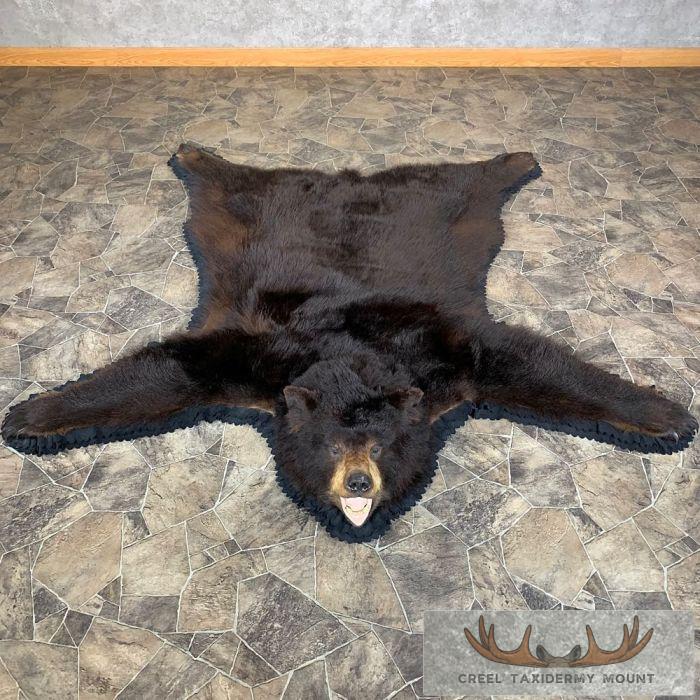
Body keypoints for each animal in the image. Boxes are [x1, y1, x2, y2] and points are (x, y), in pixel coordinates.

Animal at [2, 144, 697, 537]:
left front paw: (664, 416)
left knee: (459, 178)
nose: (358, 483)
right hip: (248, 209)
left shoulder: (441, 356)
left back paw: (515, 163)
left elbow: (522, 363)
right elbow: (177, 369)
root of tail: (345, 178)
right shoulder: (260, 361)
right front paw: (32, 417)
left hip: (441, 206)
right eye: (335, 443)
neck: (351, 356)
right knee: (232, 181)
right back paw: (195, 156)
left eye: (382, 444)